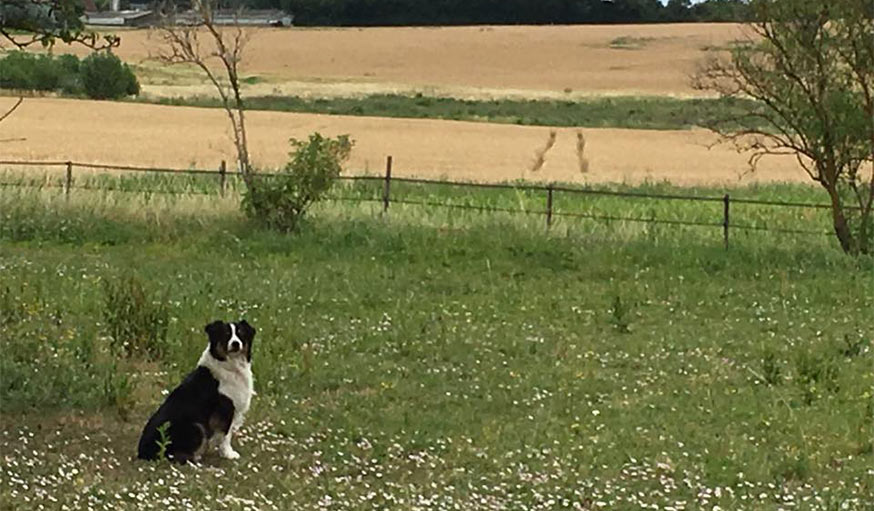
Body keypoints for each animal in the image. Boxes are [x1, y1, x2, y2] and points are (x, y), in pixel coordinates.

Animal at [135, 320, 252, 464]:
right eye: (226, 334)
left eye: (241, 333)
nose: (236, 343)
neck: (229, 365)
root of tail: (142, 452)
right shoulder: (225, 409)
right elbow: (226, 435)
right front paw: (228, 454)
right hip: (196, 427)